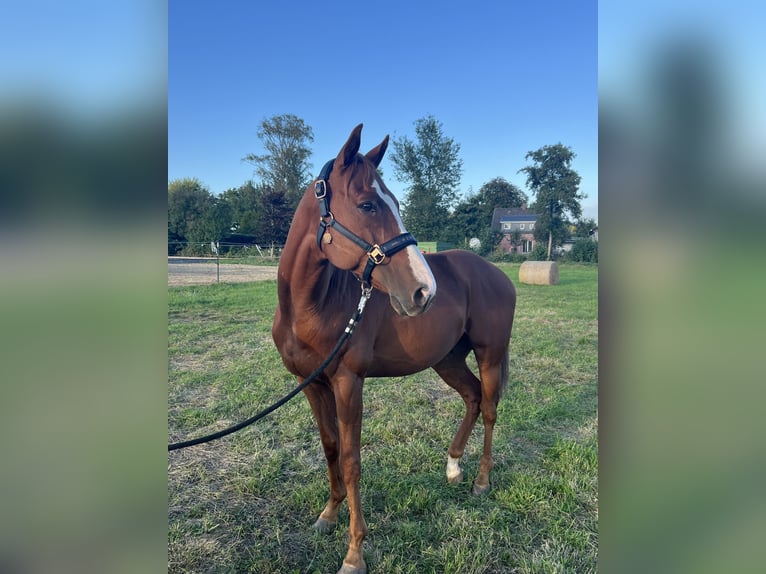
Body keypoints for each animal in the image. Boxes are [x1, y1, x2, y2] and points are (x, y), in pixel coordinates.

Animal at [272, 124, 520, 572]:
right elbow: (331, 448)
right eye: (367, 204)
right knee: (473, 398)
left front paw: (354, 552)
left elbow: (351, 460)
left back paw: (480, 481)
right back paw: (453, 467)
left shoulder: (348, 382)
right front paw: (328, 515)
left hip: (490, 353)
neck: (313, 306)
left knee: (491, 408)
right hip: (447, 359)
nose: (424, 291)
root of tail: (496, 273)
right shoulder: (311, 384)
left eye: (396, 204)